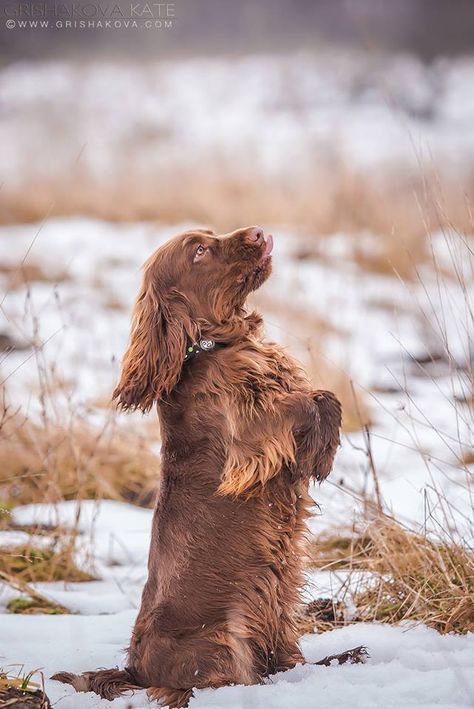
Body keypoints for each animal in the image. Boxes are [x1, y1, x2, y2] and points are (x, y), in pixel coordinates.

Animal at [52, 227, 340, 708]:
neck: (212, 344)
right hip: (225, 641)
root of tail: (134, 668)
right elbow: (306, 400)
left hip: (276, 607)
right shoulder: (248, 436)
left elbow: (324, 397)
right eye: (200, 251)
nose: (258, 232)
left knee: (284, 654)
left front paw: (325, 451)